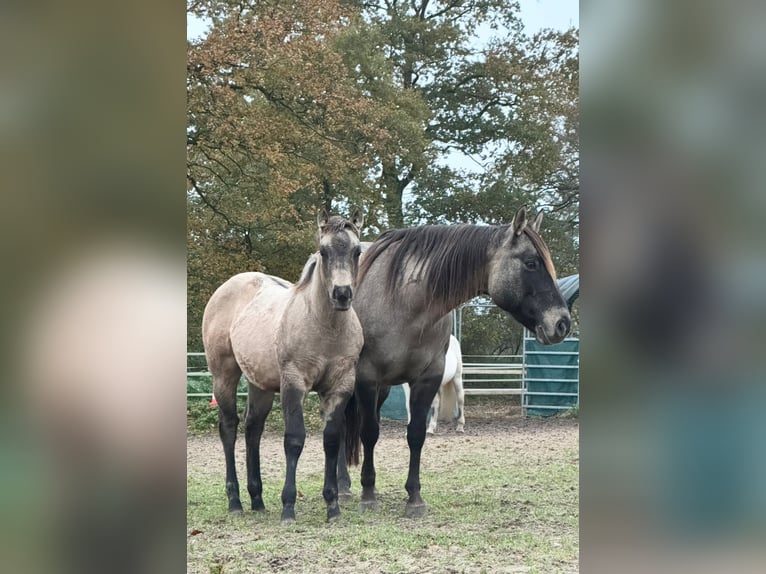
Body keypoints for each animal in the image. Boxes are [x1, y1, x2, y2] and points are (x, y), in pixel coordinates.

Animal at [204, 209, 366, 524]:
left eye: (357, 251)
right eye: (324, 251)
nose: (342, 294)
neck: (324, 327)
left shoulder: (340, 386)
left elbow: (331, 440)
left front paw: (333, 505)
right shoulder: (294, 383)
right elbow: (294, 440)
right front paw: (289, 506)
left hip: (260, 384)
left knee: (253, 428)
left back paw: (257, 499)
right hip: (224, 376)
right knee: (229, 428)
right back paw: (235, 502)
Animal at [340, 209, 568, 520]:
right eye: (531, 263)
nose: (562, 323)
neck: (402, 302)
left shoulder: (425, 380)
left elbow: (416, 434)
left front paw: (414, 498)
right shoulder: (367, 379)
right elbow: (370, 433)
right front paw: (368, 495)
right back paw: (342, 487)